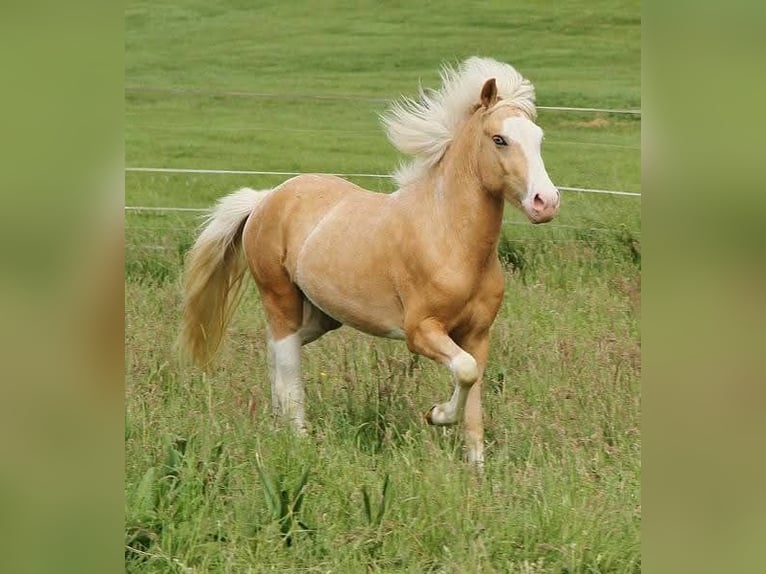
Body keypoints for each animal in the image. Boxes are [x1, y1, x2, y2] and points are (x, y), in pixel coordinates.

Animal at [180, 56, 560, 466]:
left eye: (539, 138)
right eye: (499, 139)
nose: (546, 202)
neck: (449, 239)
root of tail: (266, 198)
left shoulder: (477, 335)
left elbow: (473, 397)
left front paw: (476, 469)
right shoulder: (421, 331)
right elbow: (465, 371)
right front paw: (436, 415)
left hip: (323, 314)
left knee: (278, 348)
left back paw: (277, 422)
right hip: (278, 295)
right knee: (286, 357)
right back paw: (298, 437)